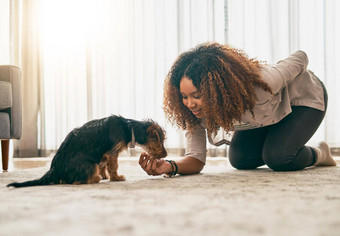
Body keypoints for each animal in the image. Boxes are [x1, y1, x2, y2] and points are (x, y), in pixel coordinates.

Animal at [7, 115, 167, 188]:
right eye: (160, 141)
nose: (166, 154)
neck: (128, 128)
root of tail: (55, 169)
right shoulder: (112, 152)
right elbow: (113, 166)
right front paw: (116, 178)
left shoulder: (104, 154)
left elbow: (104, 165)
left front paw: (106, 175)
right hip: (90, 165)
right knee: (77, 181)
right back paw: (96, 178)